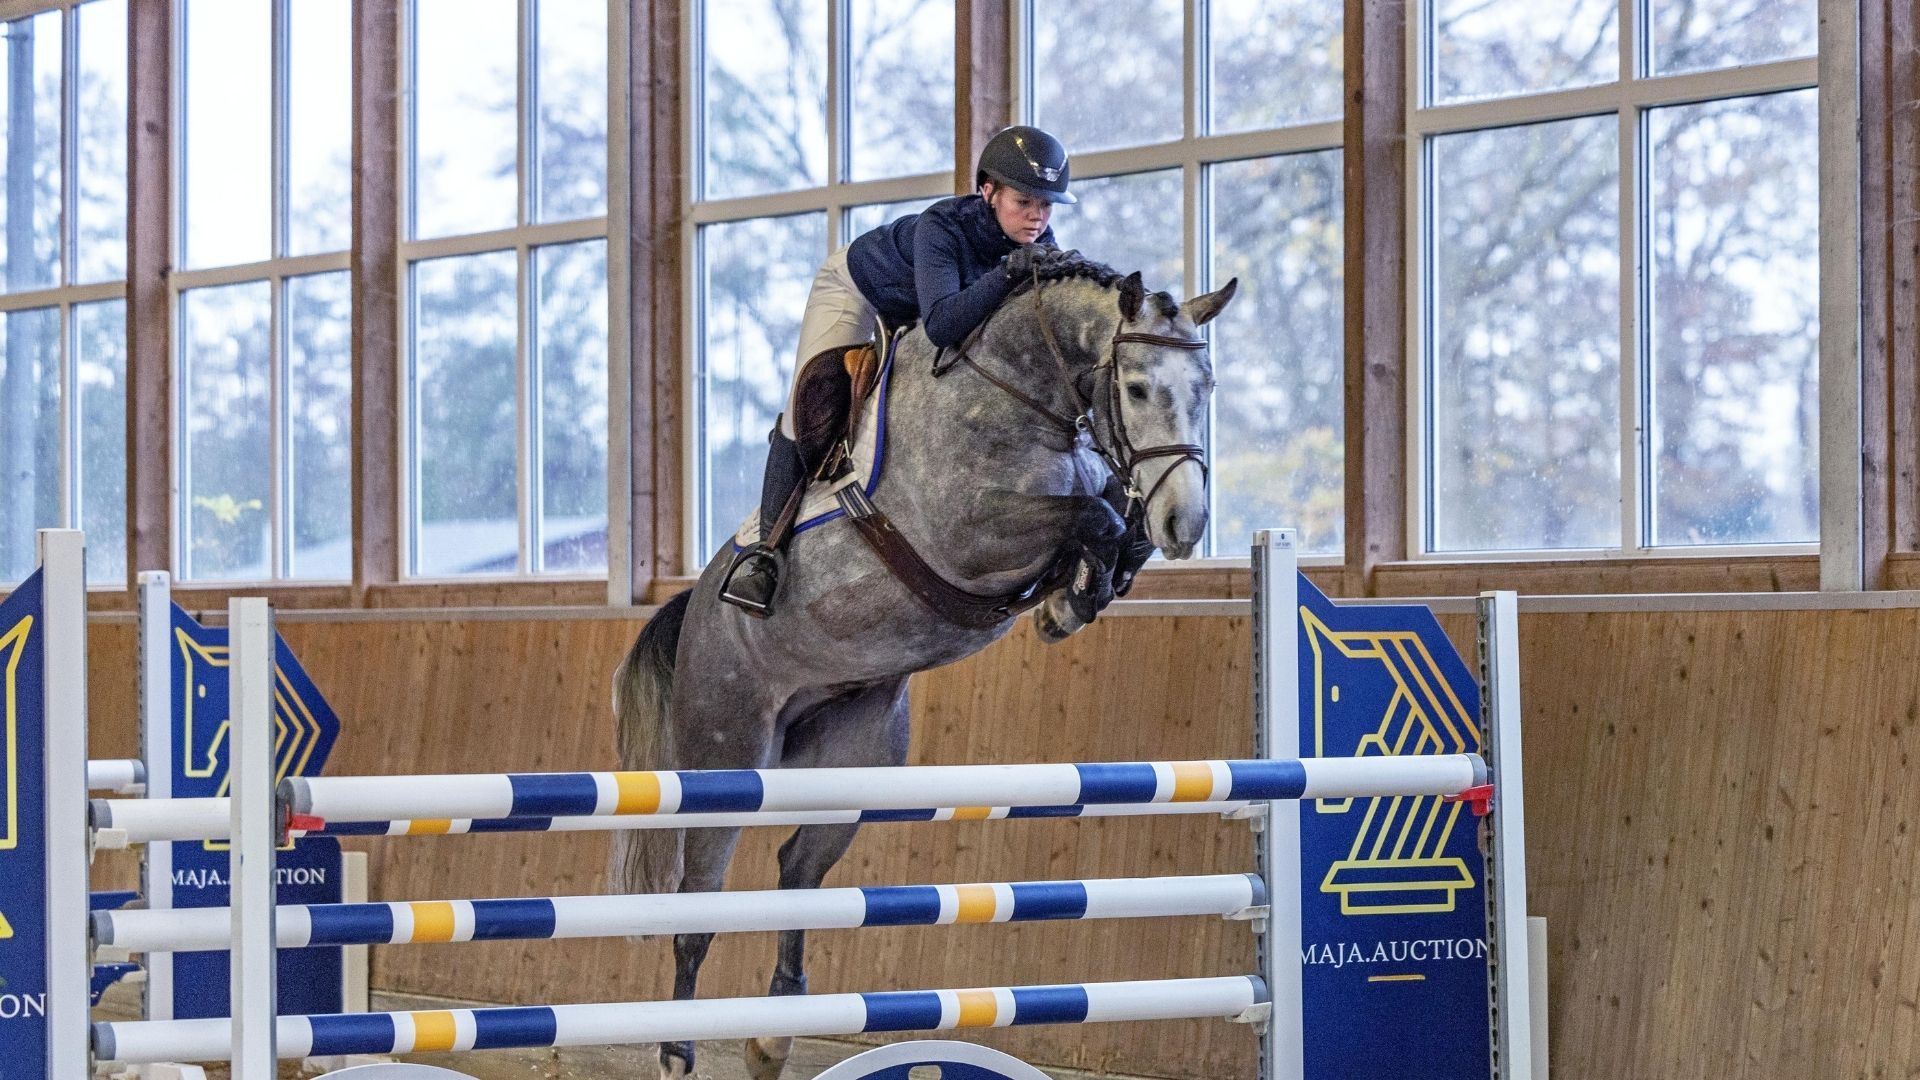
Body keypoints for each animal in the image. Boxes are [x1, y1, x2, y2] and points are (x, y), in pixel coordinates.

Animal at [610, 257, 1237, 1080]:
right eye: (1135, 389)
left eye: (1207, 389)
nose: (1185, 525)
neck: (1019, 390)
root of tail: (695, 619)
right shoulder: (973, 531)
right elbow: (1092, 516)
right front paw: (1071, 597)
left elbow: (1107, 519)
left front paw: (1071, 601)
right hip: (728, 751)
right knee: (698, 898)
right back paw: (678, 1051)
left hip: (852, 757)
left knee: (797, 870)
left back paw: (773, 1034)